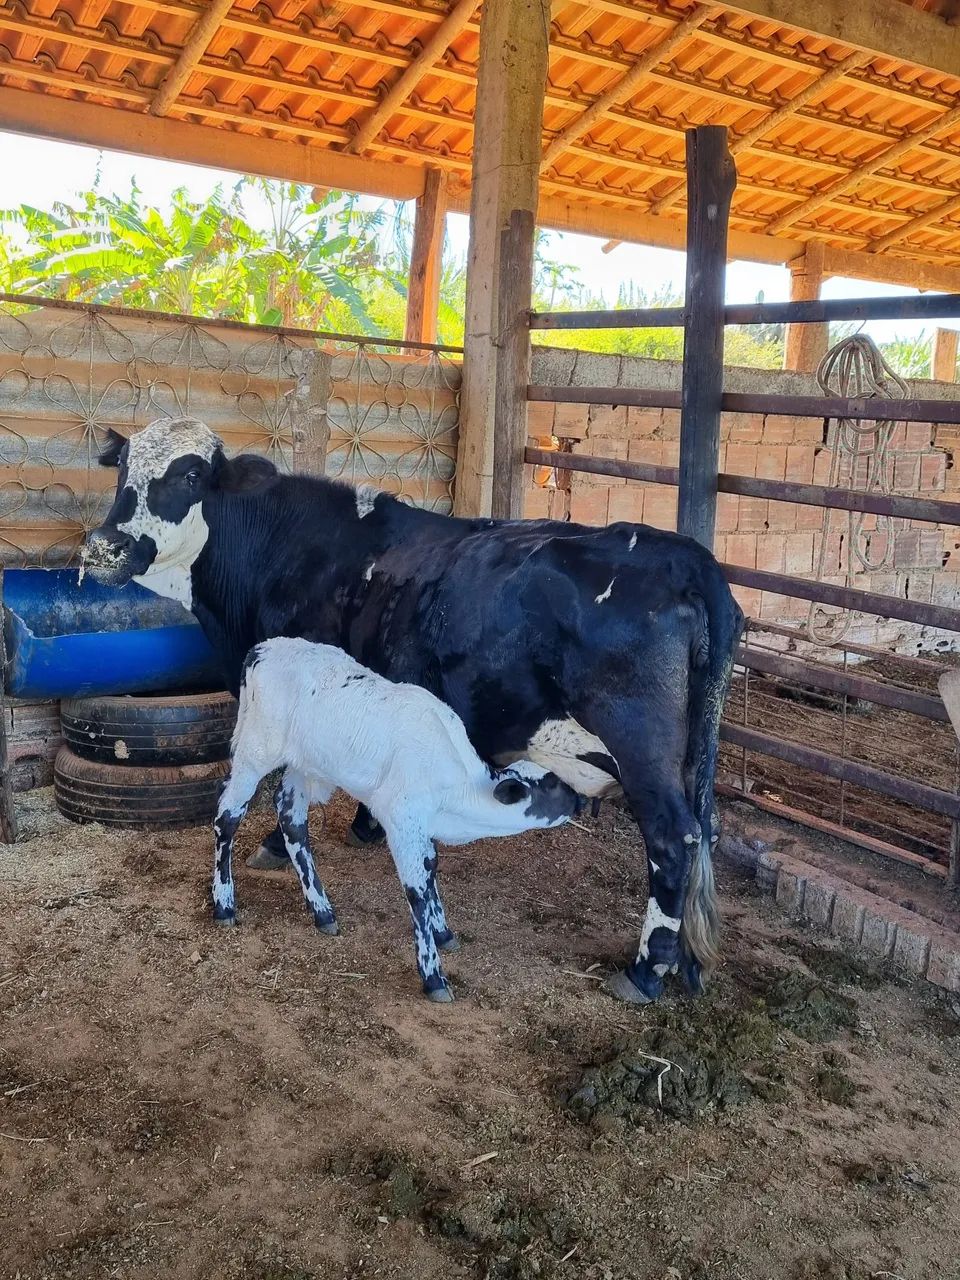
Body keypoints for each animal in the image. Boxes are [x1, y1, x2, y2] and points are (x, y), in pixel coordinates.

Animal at [214, 636, 580, 1000]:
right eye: (551, 784)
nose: (580, 801)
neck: (459, 790)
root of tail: (262, 649)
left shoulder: (423, 823)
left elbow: (431, 869)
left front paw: (443, 932)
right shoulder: (401, 817)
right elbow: (416, 890)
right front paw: (433, 976)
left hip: (305, 764)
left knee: (292, 820)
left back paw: (322, 912)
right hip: (255, 750)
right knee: (226, 818)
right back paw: (224, 905)